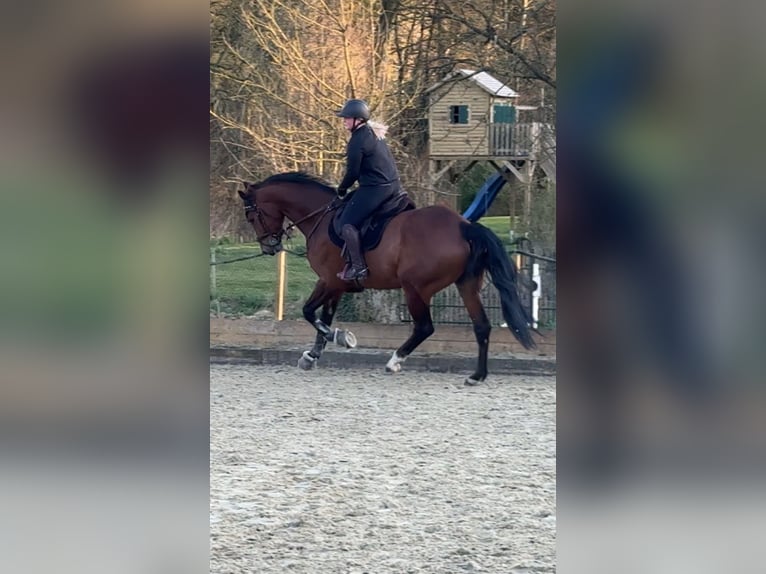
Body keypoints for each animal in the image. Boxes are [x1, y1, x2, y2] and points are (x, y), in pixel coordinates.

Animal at [238, 172, 536, 385]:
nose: (269, 247)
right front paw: (312, 355)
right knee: (481, 326)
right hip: (467, 285)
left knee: (424, 327)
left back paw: (394, 361)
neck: (320, 216)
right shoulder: (337, 285)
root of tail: (464, 226)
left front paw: (342, 337)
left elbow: (310, 313)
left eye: (251, 215)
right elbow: (324, 316)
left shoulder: (328, 280)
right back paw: (477, 376)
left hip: (415, 288)